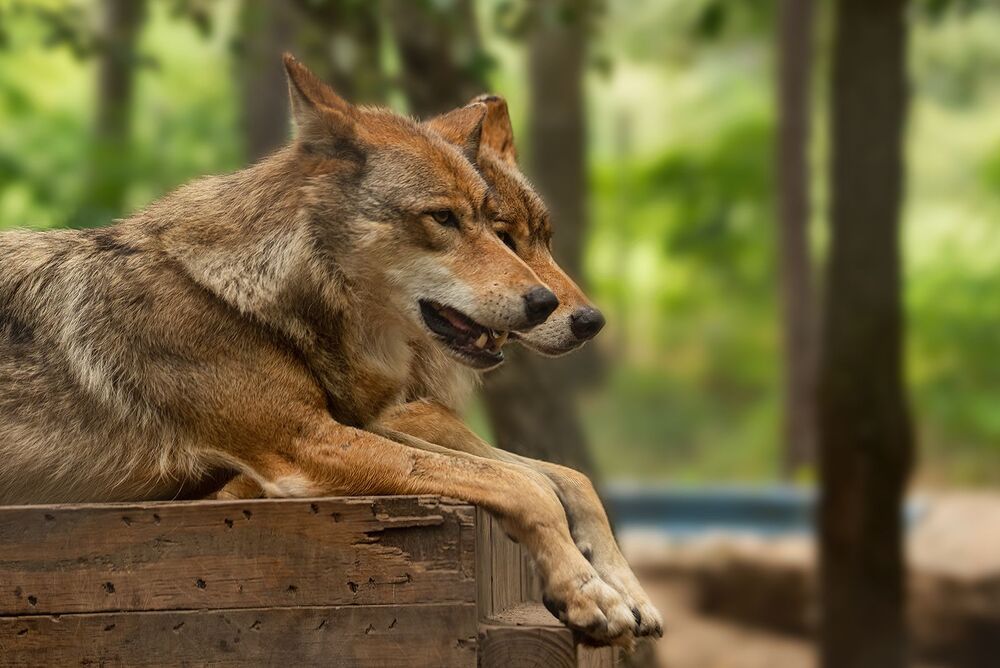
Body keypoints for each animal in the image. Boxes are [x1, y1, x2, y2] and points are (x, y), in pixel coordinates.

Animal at [0, 54, 657, 646]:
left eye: (538, 238)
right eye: (447, 219)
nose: (571, 313)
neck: (253, 301)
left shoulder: (361, 424)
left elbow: (558, 477)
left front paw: (623, 589)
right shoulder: (308, 442)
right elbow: (527, 485)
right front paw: (587, 592)